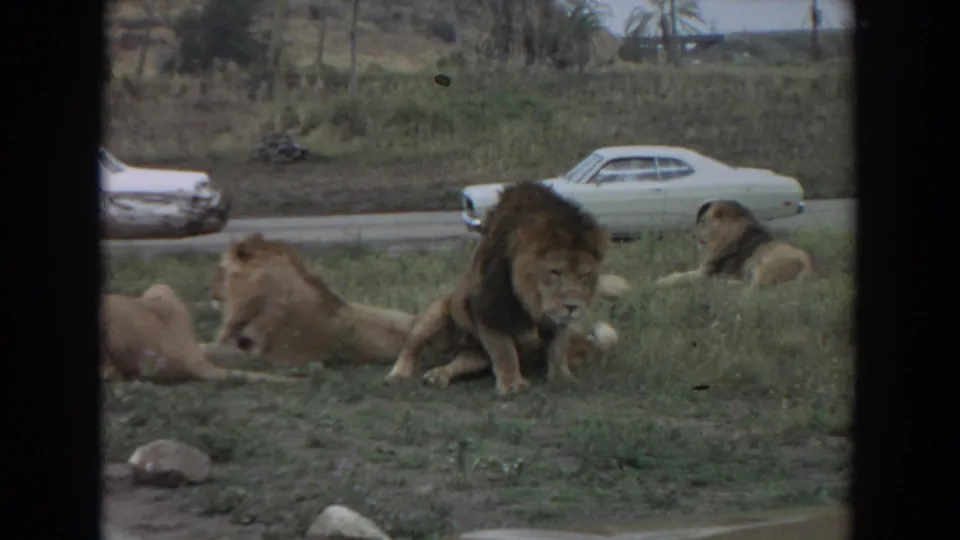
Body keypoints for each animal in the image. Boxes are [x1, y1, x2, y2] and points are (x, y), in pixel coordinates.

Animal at [384, 181, 615, 395]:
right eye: (555, 272)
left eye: (584, 275)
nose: (572, 307)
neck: (530, 299)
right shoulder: (488, 306)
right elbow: (503, 349)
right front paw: (512, 384)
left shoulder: (555, 319)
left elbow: (558, 347)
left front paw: (561, 378)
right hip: (436, 312)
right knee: (411, 347)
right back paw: (399, 375)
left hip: (477, 356)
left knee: (459, 363)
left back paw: (437, 376)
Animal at [655, 200, 813, 289]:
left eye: (702, 222)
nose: (693, 236)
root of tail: (807, 265)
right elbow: (678, 274)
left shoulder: (705, 272)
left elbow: (680, 277)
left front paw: (660, 282)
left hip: (766, 263)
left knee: (753, 288)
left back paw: (721, 282)